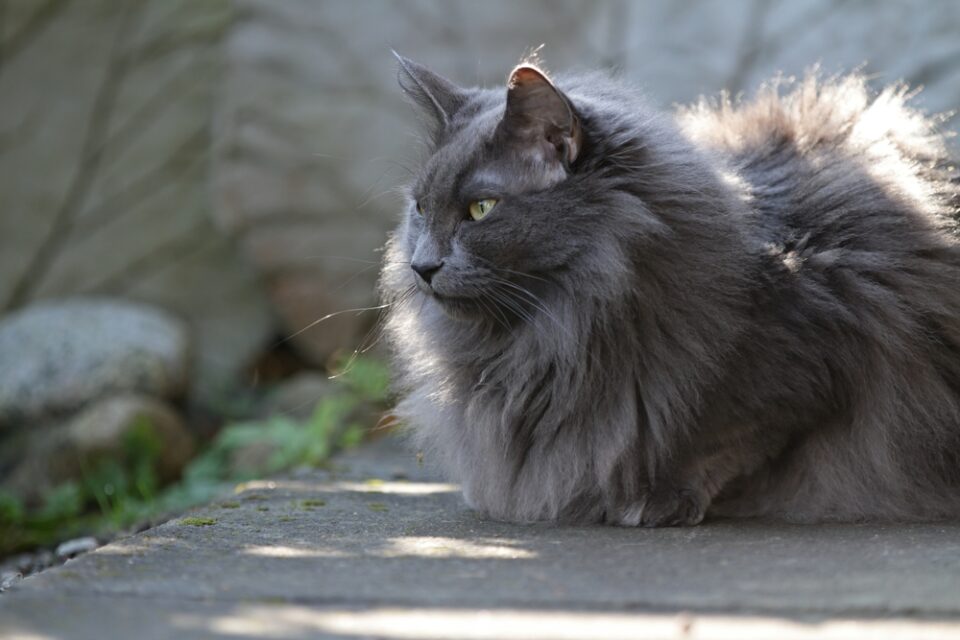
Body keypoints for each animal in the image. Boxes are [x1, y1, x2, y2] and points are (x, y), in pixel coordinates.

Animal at [378, 55, 960, 524]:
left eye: (481, 209)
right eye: (421, 208)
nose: (422, 265)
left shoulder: (824, 356)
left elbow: (730, 441)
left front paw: (658, 499)